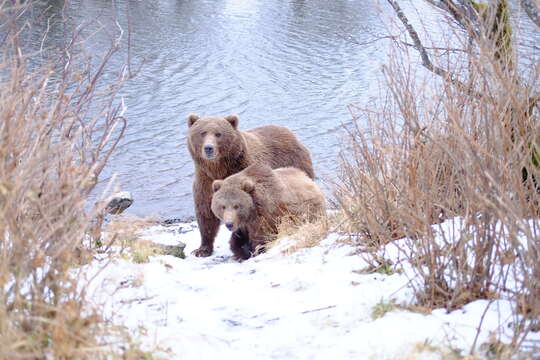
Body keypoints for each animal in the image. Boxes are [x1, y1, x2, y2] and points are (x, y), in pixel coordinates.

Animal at [187, 114, 314, 258]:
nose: (208, 148)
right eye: (202, 133)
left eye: (218, 134)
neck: (218, 169)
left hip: (294, 163)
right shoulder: (205, 181)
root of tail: (288, 131)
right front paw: (202, 249)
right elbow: (205, 213)